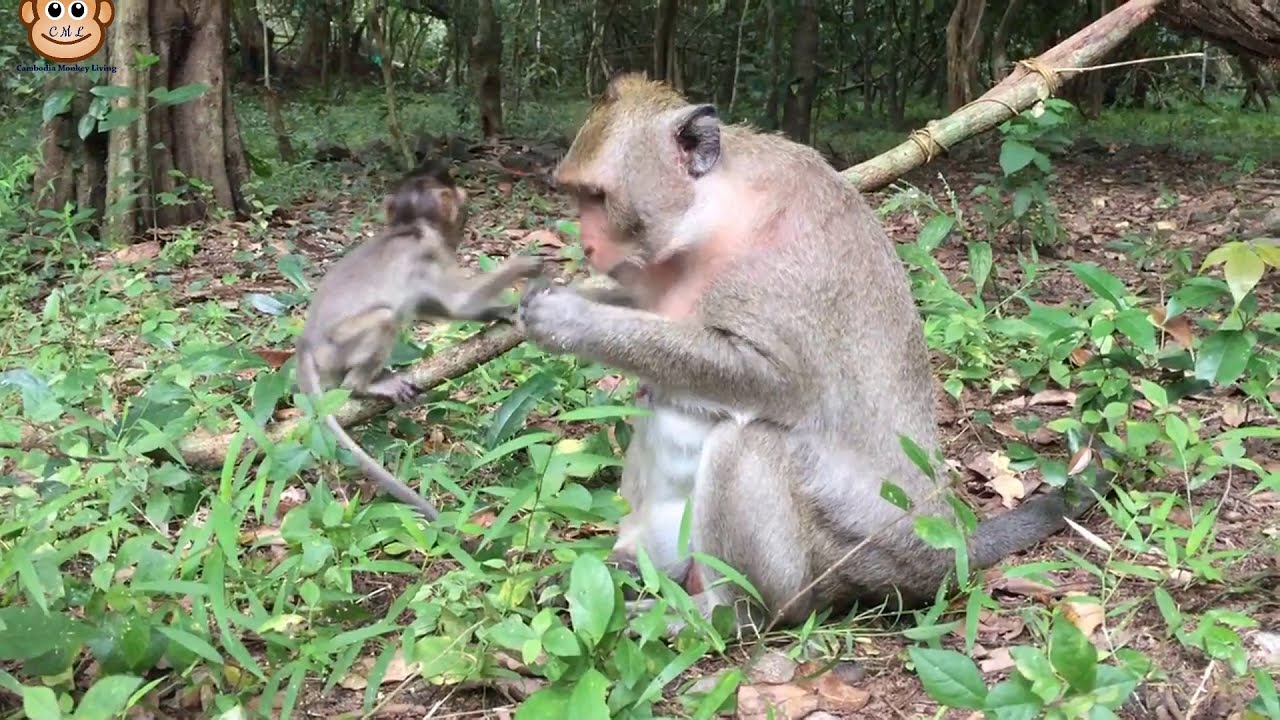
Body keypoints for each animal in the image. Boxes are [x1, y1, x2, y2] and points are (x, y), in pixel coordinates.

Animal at [297, 164, 543, 520]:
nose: (466, 221)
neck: (411, 227)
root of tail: (305, 343)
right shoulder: (431, 251)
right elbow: (458, 302)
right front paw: (522, 264)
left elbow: (442, 307)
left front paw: (502, 311)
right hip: (336, 347)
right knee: (385, 319)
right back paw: (365, 385)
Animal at [519, 73, 1104, 632]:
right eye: (577, 196)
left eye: (598, 198)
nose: (586, 244)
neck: (714, 218)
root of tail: (943, 548)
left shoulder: (778, 263)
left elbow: (775, 383)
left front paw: (570, 321)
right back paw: (627, 567)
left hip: (844, 563)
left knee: (747, 444)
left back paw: (729, 613)